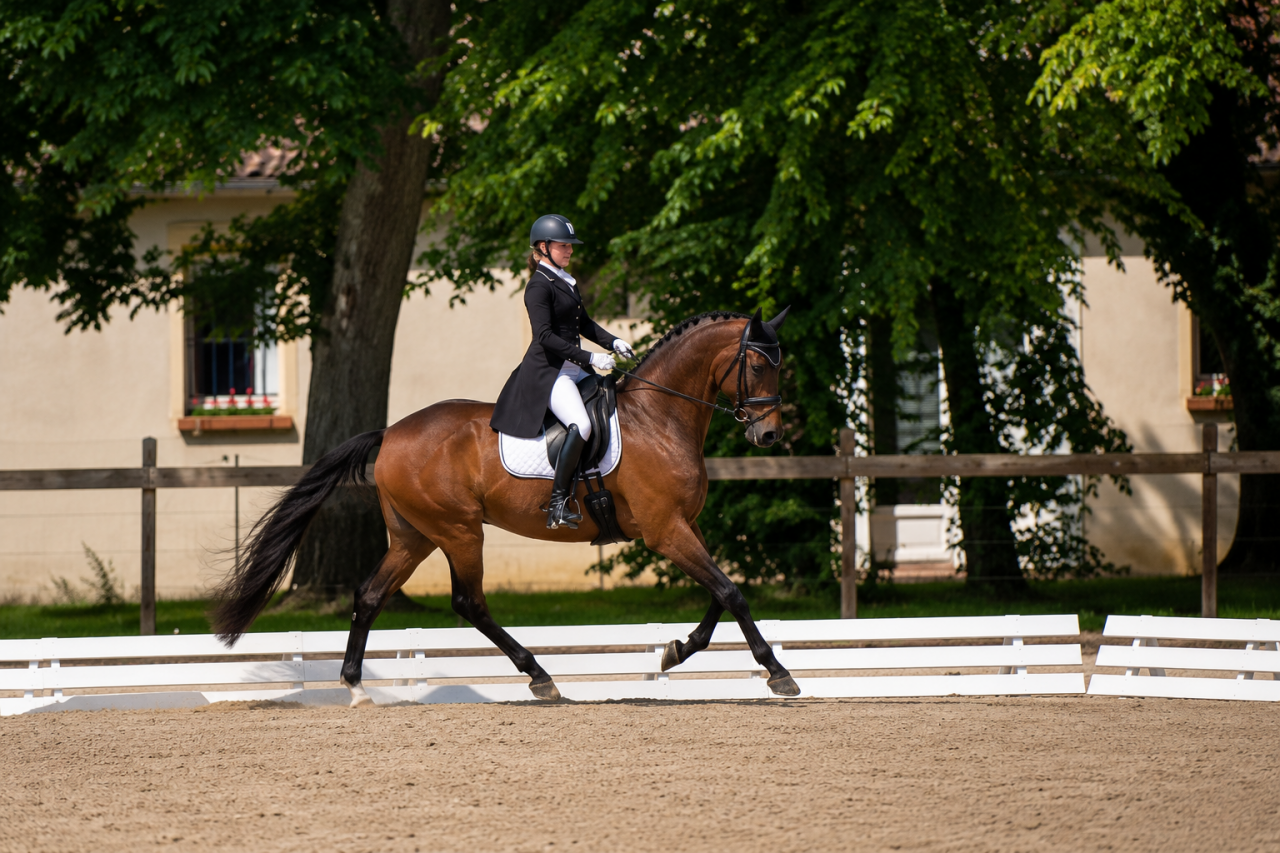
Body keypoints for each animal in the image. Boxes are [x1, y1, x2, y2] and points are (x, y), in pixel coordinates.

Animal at [211, 308, 799, 705]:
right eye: (757, 365)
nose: (768, 435)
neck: (659, 418)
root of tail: (391, 434)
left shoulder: (684, 526)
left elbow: (721, 593)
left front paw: (677, 649)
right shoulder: (665, 531)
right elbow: (731, 591)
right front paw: (777, 673)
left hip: (414, 536)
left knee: (370, 594)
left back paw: (355, 687)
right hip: (459, 531)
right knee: (470, 602)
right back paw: (540, 677)